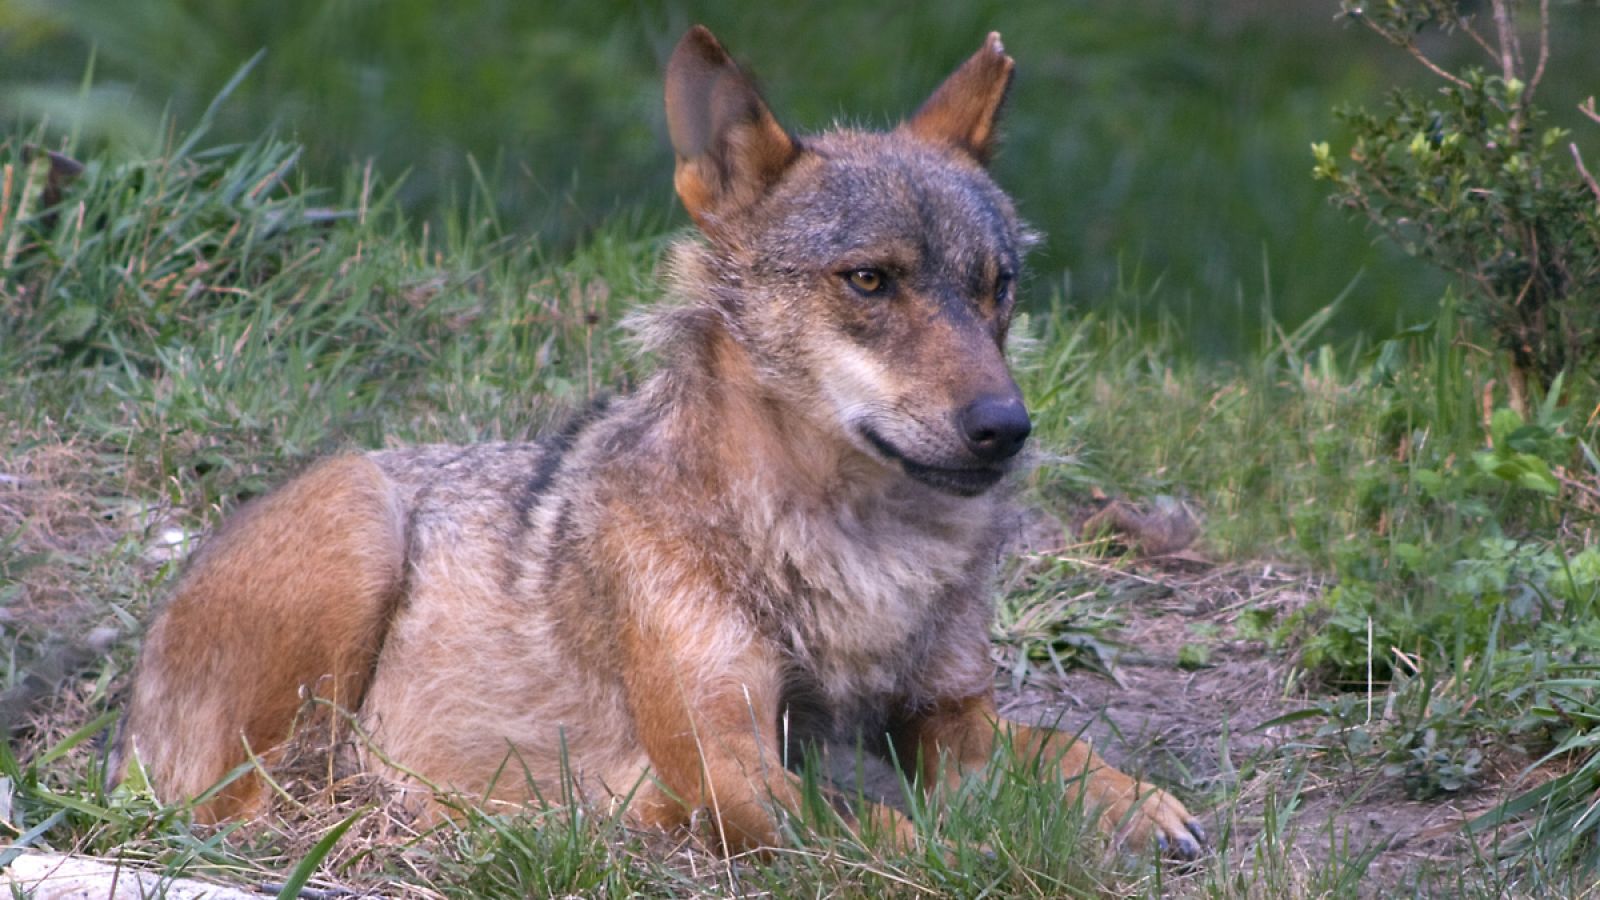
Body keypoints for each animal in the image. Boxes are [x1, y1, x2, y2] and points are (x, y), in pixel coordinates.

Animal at [112, 26, 1203, 851]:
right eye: (869, 280)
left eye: (997, 287)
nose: (1005, 428)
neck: (858, 551)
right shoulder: (730, 765)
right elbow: (902, 838)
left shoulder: (950, 722)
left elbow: (1054, 750)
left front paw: (1138, 805)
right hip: (355, 529)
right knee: (264, 804)